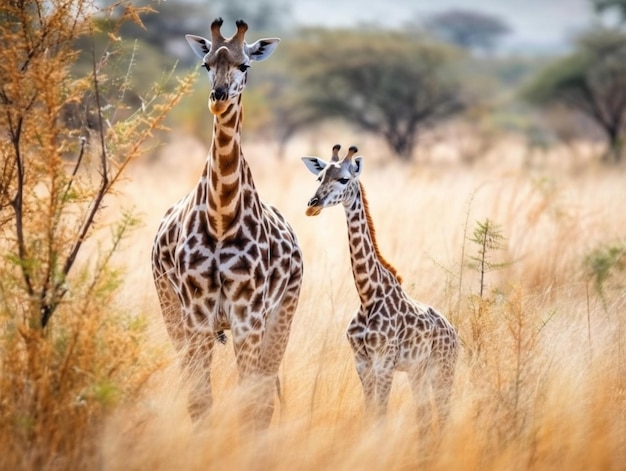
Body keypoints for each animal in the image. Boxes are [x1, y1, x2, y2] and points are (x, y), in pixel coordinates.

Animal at [149, 18, 300, 430]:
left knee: (264, 399)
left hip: (281, 315)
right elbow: (200, 402)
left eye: (244, 65)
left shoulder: (250, 315)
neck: (221, 217)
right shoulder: (196, 314)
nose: (217, 97)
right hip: (171, 310)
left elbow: (250, 406)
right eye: (205, 64)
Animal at [300, 145, 456, 424]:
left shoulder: (384, 362)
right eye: (319, 178)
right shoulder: (362, 362)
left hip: (443, 371)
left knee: (444, 415)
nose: (312, 205)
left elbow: (381, 415)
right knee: (425, 416)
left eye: (344, 179)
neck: (367, 294)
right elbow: (370, 413)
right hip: (419, 371)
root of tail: (455, 333)